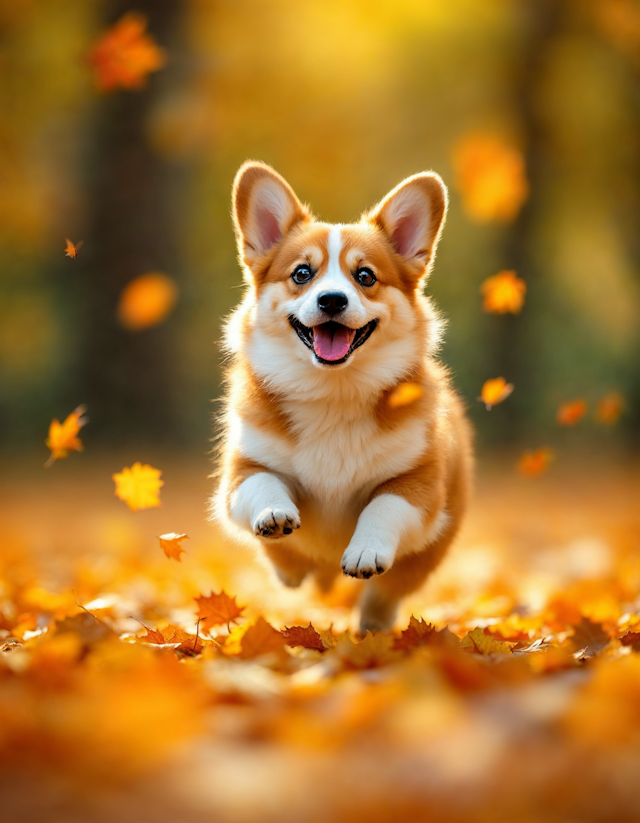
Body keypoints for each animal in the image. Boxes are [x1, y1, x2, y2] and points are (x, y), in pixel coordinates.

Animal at [212, 164, 472, 636]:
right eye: (302, 273)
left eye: (365, 276)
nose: (332, 299)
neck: (334, 391)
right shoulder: (243, 470)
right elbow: (264, 484)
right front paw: (275, 515)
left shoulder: (419, 485)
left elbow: (384, 507)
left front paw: (365, 551)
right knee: (292, 570)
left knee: (386, 593)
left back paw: (373, 626)